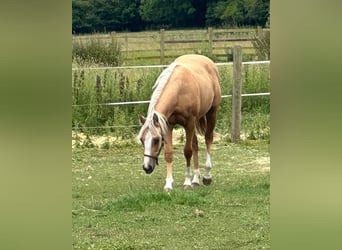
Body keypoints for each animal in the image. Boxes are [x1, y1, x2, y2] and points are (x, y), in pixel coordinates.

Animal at [137, 54, 220, 191]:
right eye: (142, 139)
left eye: (156, 140)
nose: (146, 167)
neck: (179, 90)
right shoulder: (168, 125)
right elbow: (169, 153)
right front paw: (168, 184)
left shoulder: (189, 123)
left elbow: (187, 151)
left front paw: (187, 182)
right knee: (195, 144)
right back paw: (195, 179)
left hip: (212, 113)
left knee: (208, 138)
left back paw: (206, 176)